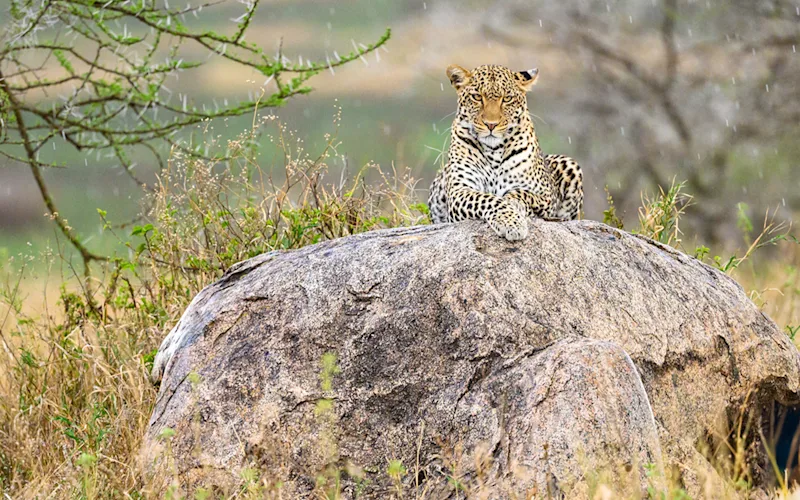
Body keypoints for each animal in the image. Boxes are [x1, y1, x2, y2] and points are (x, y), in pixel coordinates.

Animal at [428, 64, 583, 241]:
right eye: (477, 97)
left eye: (507, 98)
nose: (491, 124)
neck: (493, 151)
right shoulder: (459, 191)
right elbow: (488, 199)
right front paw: (511, 222)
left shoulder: (545, 194)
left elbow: (521, 193)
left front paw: (514, 205)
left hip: (569, 163)